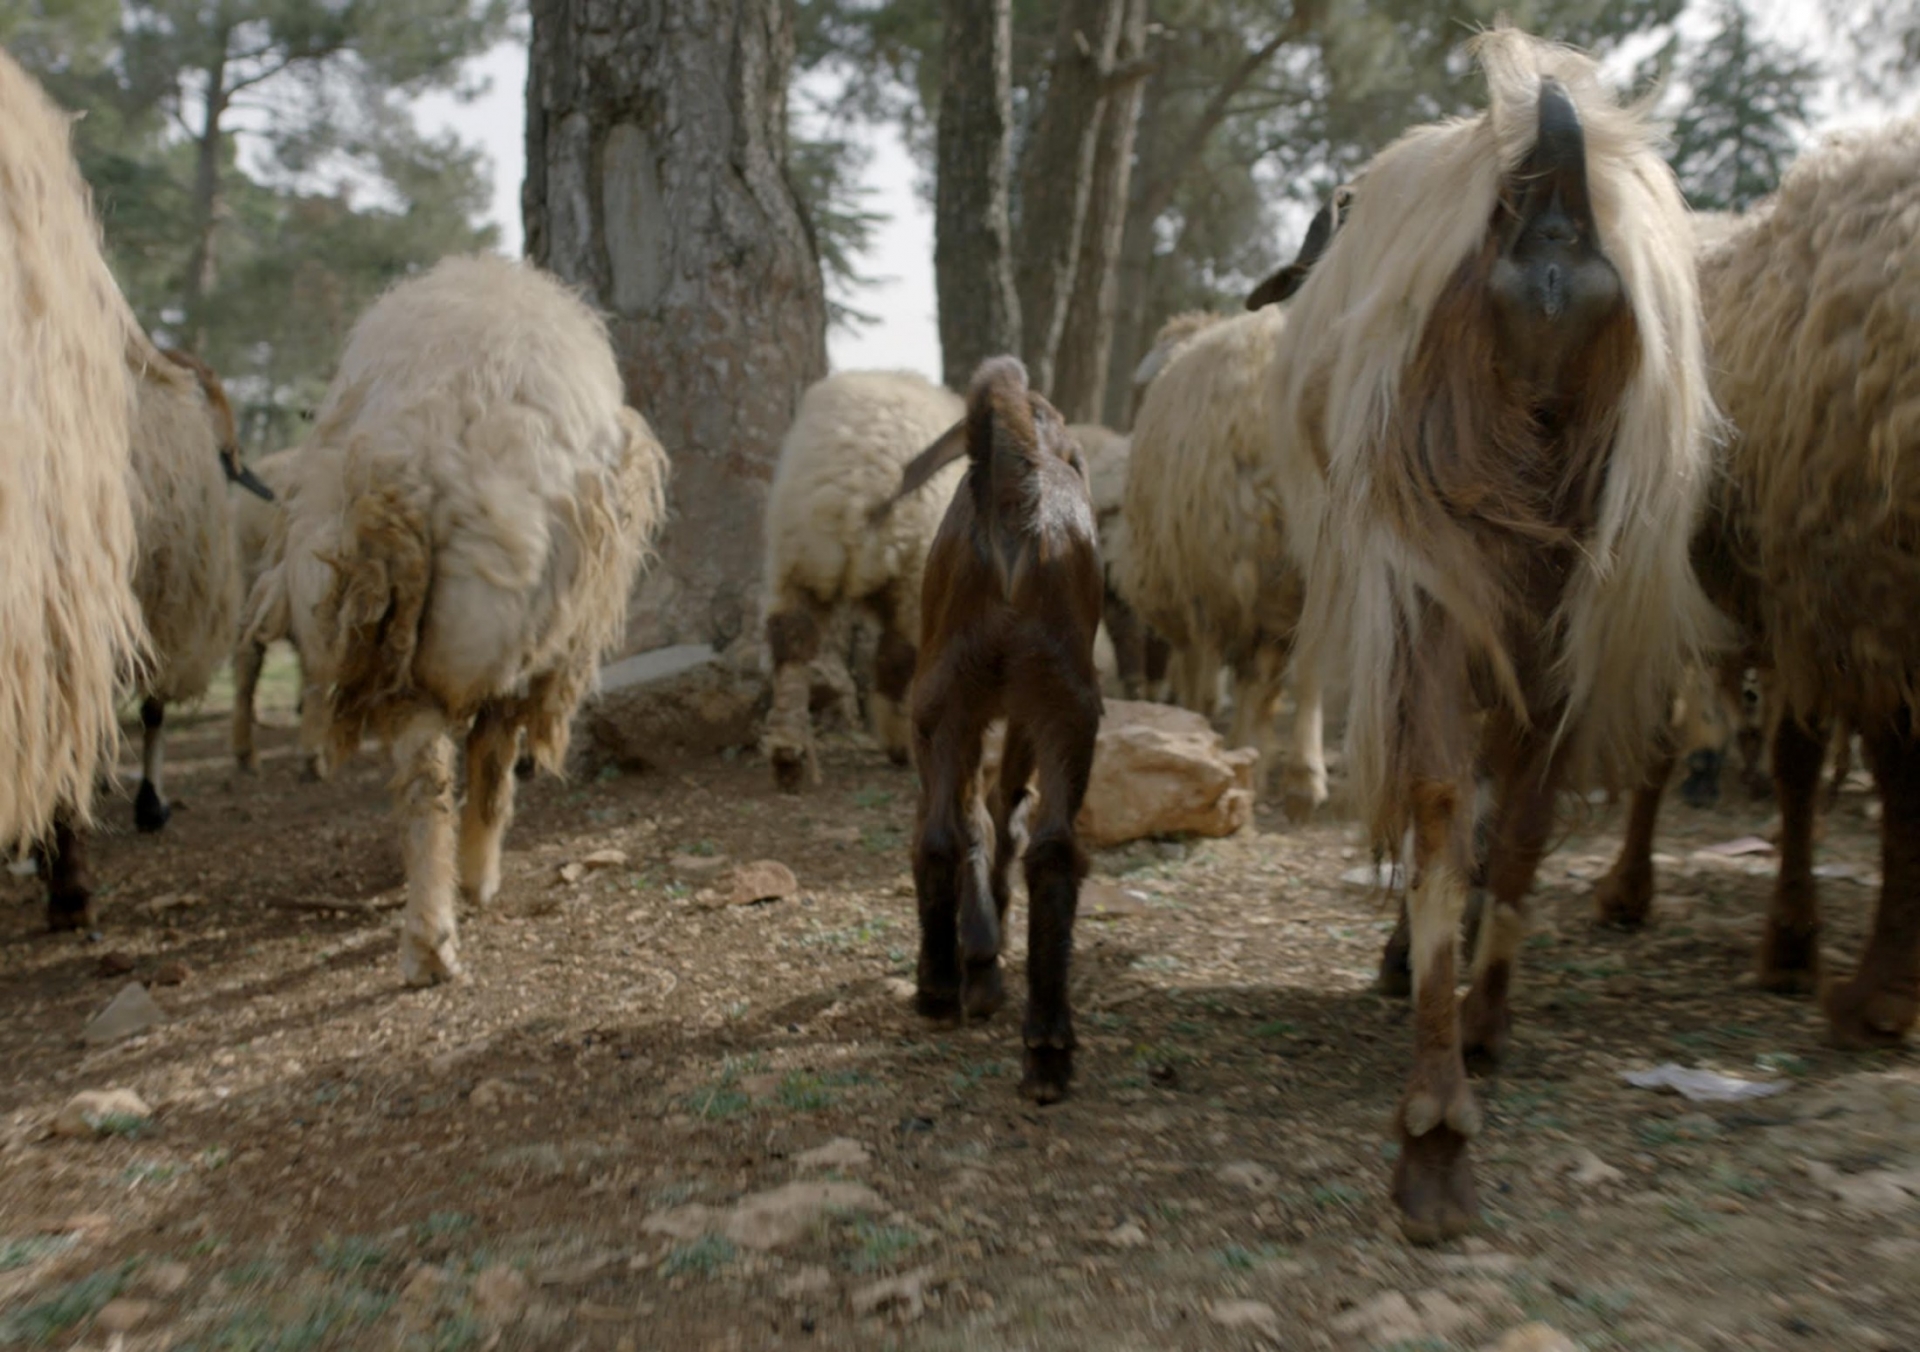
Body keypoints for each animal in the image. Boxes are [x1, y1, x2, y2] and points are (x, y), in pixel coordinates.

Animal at [247, 259, 672, 990]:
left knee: (424, 780)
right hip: (506, 624)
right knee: (484, 758)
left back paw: (427, 941)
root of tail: (407, 462)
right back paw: (475, 881)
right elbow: (495, 762)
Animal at [760, 368, 967, 791]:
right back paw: (899, 739)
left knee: (792, 638)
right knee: (898, 656)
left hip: (796, 556)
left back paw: (788, 753)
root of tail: (853, 487)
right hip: (912, 570)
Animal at [1282, 31, 1720, 1244]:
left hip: (1443, 561)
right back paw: (1472, 1047)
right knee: (1515, 811)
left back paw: (1435, 1119)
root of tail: (1555, 200)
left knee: (1445, 803)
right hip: (1571, 587)